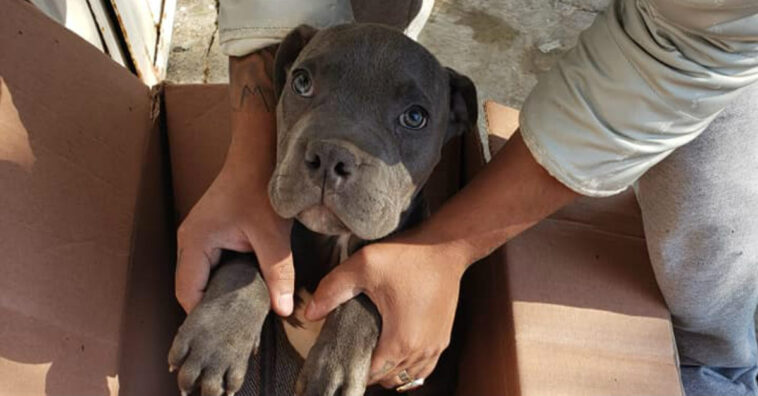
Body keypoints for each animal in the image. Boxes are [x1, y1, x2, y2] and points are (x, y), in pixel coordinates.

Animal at [169, 24, 478, 396]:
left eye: (415, 117)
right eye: (302, 82)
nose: (331, 155)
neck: (335, 239)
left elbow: (366, 295)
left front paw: (334, 365)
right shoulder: (265, 239)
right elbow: (245, 261)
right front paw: (215, 338)